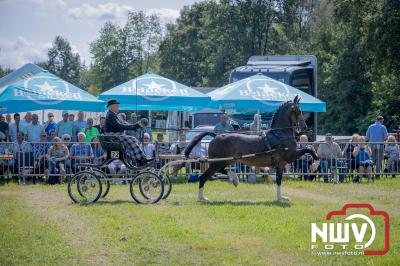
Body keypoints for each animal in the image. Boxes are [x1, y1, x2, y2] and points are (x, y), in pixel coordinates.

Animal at [184, 95, 318, 202]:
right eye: (298, 110)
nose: (304, 127)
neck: (280, 134)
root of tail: (216, 135)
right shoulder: (291, 156)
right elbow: (308, 150)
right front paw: (315, 163)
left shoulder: (281, 164)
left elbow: (279, 181)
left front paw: (281, 198)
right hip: (218, 162)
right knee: (204, 177)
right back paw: (203, 197)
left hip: (226, 161)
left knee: (220, 171)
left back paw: (233, 179)